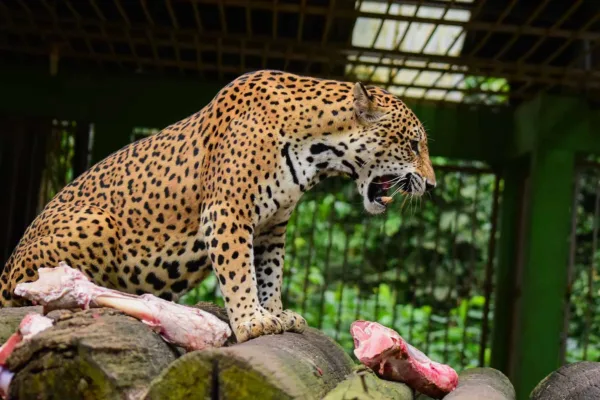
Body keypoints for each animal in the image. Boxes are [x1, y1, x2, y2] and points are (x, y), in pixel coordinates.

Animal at [0, 70, 434, 342]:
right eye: (414, 145)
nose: (430, 184)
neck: (319, 151)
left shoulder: (273, 227)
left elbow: (270, 272)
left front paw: (275, 312)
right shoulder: (228, 212)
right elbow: (239, 271)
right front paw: (251, 321)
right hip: (96, 222)